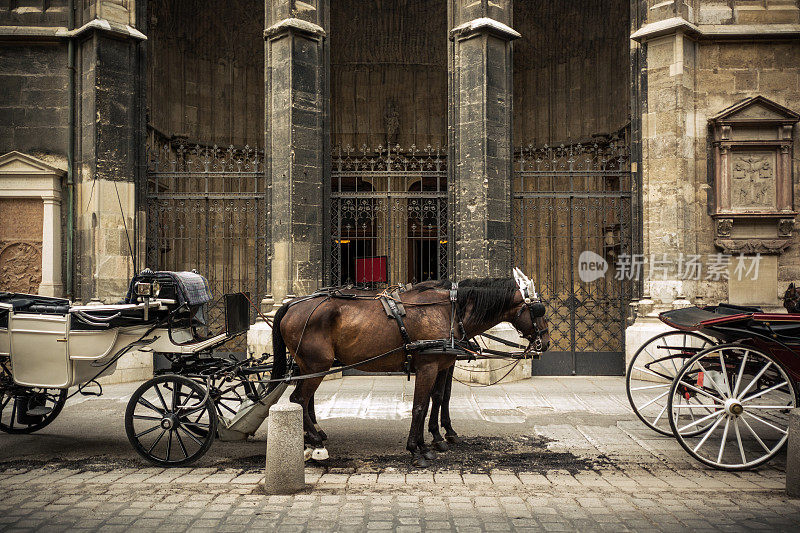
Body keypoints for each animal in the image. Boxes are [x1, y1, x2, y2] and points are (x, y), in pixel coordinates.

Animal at [272, 274, 548, 466]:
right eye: (537, 309)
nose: (545, 342)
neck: (449, 310)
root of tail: (291, 304)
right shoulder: (429, 366)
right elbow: (420, 406)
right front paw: (417, 449)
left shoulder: (443, 363)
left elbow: (438, 398)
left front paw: (436, 439)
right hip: (317, 365)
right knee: (299, 399)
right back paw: (316, 442)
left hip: (309, 366)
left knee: (305, 400)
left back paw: (311, 436)